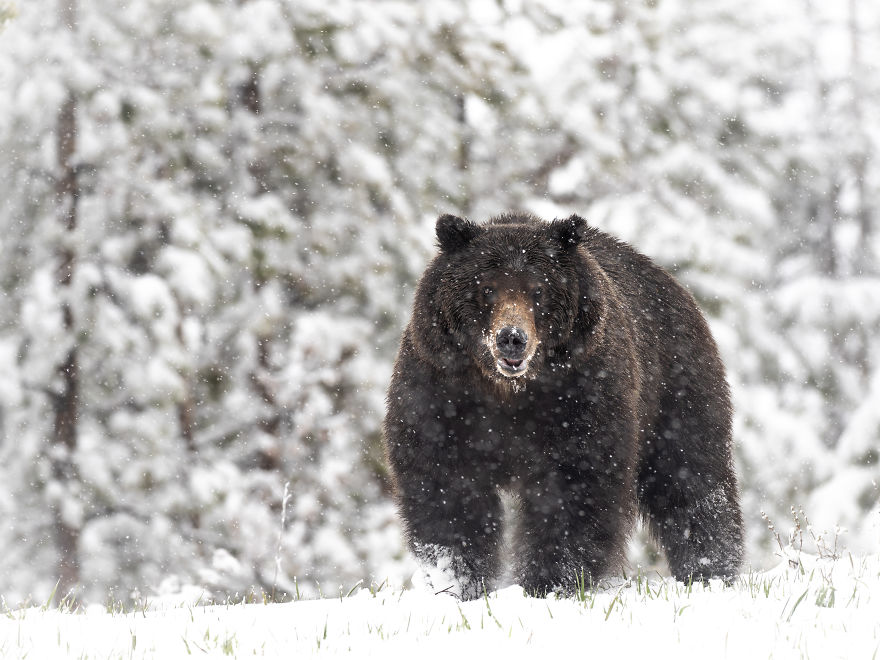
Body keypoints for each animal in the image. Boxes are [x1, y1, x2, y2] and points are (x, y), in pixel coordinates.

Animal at [383, 212, 744, 599]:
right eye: (487, 288)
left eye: (538, 289)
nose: (512, 338)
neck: (509, 391)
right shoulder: (441, 391)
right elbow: (446, 489)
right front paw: (457, 582)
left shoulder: (582, 395)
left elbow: (574, 488)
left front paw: (549, 582)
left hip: (674, 388)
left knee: (692, 479)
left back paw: (710, 570)